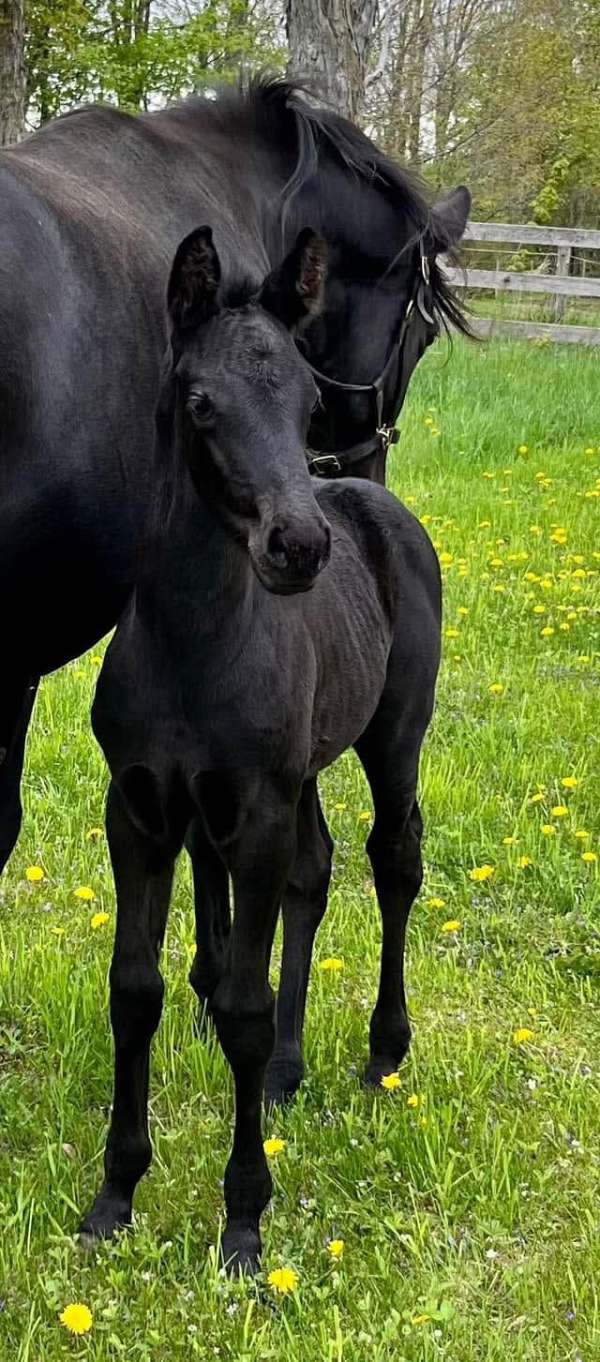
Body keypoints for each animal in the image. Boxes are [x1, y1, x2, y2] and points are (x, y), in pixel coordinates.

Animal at [82, 225, 441, 1275]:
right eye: (202, 402)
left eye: (308, 404)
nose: (299, 546)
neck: (194, 643)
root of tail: (367, 498)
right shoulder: (143, 811)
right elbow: (136, 991)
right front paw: (115, 1194)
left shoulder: (255, 814)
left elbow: (236, 1006)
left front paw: (243, 1219)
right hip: (304, 774)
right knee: (316, 873)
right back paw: (289, 1067)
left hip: (391, 738)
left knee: (393, 860)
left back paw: (382, 1049)